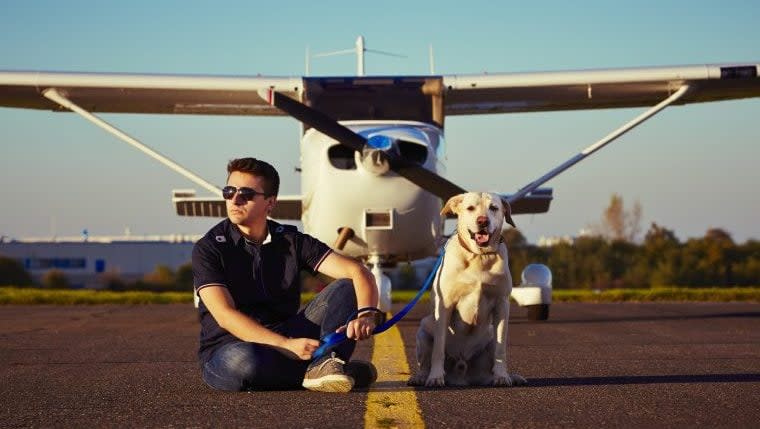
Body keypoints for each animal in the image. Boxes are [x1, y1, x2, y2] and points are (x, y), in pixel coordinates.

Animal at [406, 192, 524, 386]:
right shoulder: (444, 305)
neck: (479, 256)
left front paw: (502, 376)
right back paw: (421, 377)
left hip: (489, 336)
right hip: (423, 331)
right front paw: (435, 377)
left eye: (494, 208)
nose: (482, 221)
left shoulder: (502, 304)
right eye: (470, 208)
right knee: (424, 362)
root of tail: (462, 373)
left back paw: (509, 376)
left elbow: (501, 349)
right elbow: (438, 348)